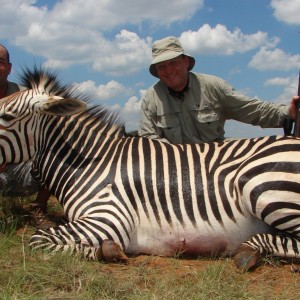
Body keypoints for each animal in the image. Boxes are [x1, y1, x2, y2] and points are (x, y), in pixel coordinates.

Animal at [0, 66, 298, 272]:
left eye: (5, 116)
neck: (90, 165)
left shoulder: (109, 217)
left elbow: (38, 240)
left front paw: (107, 251)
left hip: (263, 188)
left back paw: (249, 251)